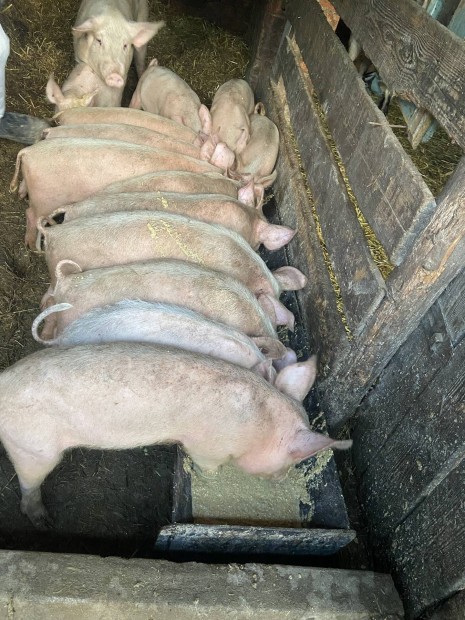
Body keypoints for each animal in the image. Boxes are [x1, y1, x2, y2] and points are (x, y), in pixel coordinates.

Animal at [0, 344, 352, 525]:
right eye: (289, 462)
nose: (281, 480)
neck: (259, 425)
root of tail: (4, 385)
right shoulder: (206, 446)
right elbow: (207, 465)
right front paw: (210, 477)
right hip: (34, 447)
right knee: (29, 484)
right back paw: (43, 519)